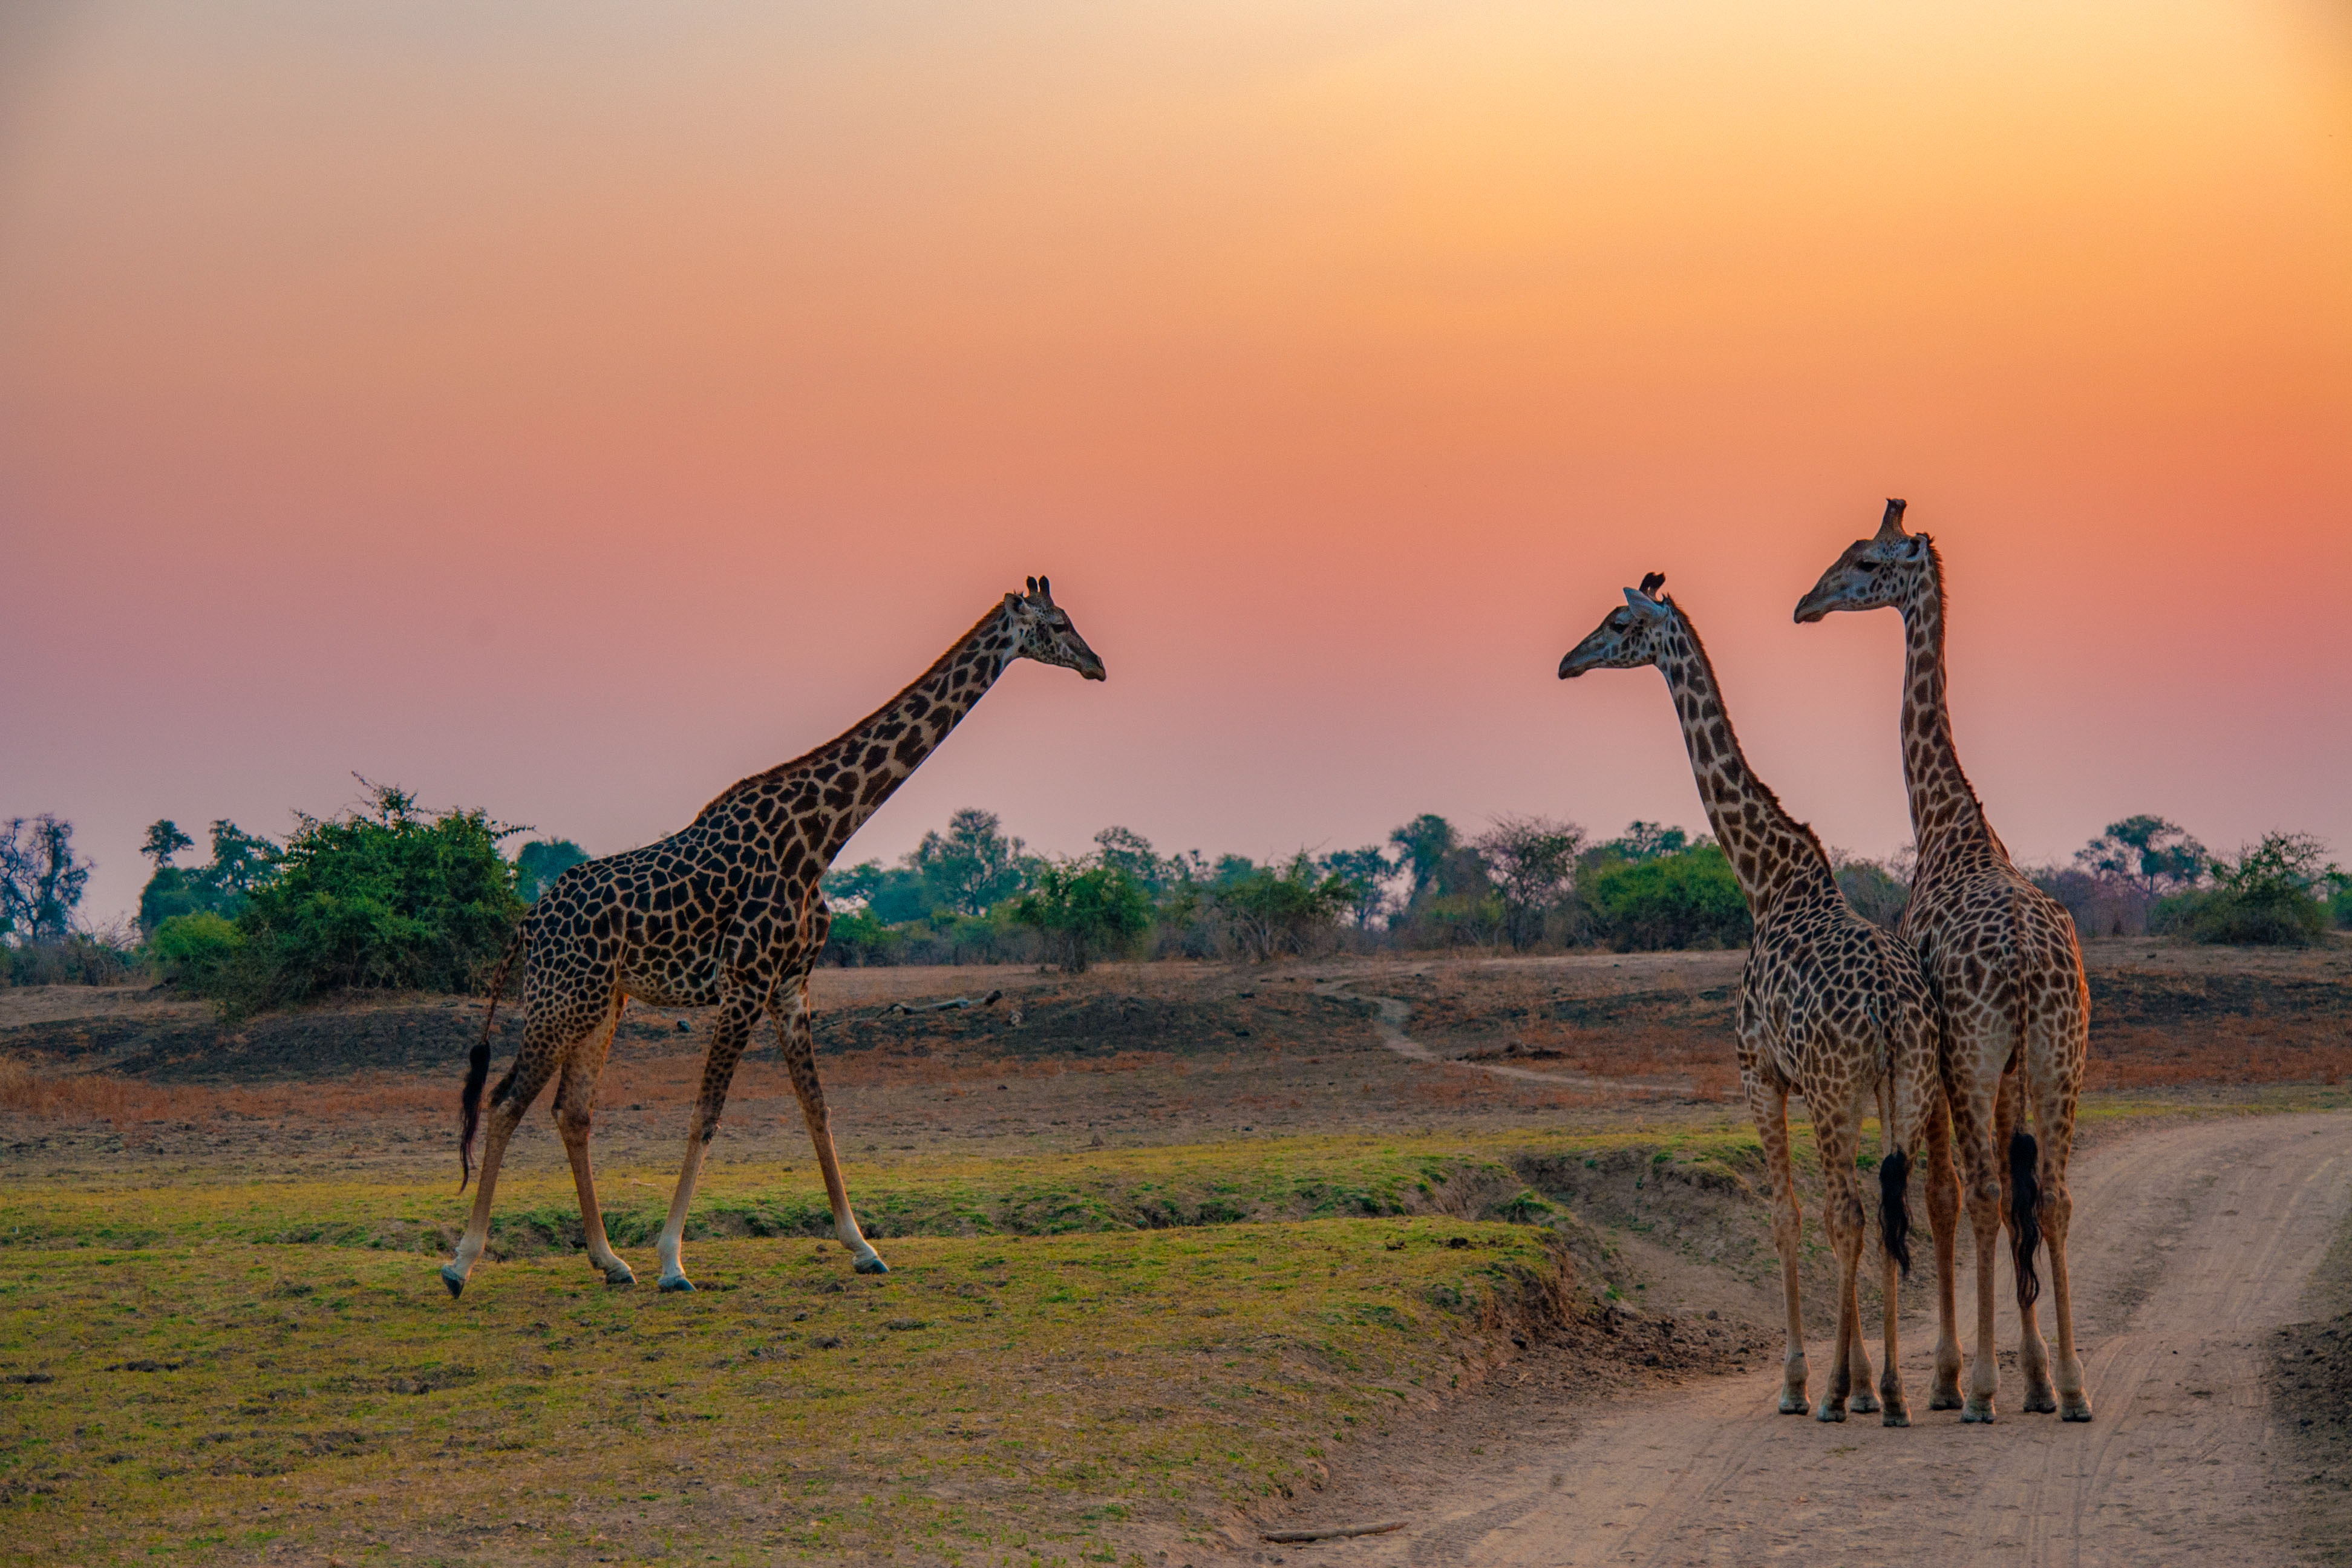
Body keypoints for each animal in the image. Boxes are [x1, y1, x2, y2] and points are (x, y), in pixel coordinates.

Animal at [442, 577, 1105, 1298]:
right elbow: (706, 1113)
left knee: (572, 1111)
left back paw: (609, 1261)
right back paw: (462, 1262)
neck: (818, 838)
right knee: (506, 1101)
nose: (1097, 665)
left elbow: (818, 1109)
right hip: (562, 998)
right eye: (1058, 623)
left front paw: (862, 1246)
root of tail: (529, 921)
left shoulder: (791, 987)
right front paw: (673, 1260)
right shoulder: (744, 984)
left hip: (601, 1003)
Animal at [1561, 574, 1961, 1424]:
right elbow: (1842, 1215)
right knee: (1892, 1208)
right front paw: (1862, 1381)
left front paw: (1800, 1380)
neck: (1766, 882)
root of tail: (1890, 1009)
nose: (1568, 662)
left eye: (1616, 622)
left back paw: (1840, 1393)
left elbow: (1787, 1216)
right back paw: (1895, 1392)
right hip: (1905, 1083)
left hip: (1840, 1088)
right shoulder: (1827, 1085)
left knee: (1848, 1213)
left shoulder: (1760, 1073)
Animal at [1797, 500, 2094, 1423]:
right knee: (2051, 1193)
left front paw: (1954, 1375)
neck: (1945, 820)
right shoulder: (2008, 1066)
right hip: (2062, 1052)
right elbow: (2016, 1189)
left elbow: (1941, 1195)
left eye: (1865, 560)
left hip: (1975, 1054)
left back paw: (1983, 1391)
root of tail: (2031, 965)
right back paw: (2073, 1387)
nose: (1806, 604)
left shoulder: (1943, 1054)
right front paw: (2036, 1373)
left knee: (1987, 1192)